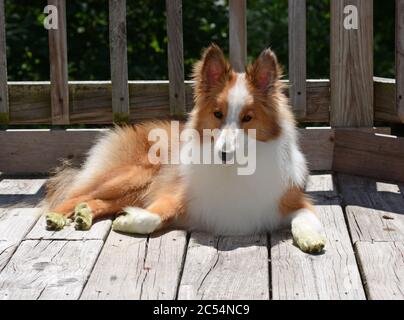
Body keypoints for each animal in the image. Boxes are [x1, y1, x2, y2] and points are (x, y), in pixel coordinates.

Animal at [44, 45, 326, 254]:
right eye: (217, 114)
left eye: (248, 118)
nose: (223, 154)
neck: (236, 169)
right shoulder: (175, 194)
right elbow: (153, 216)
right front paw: (128, 221)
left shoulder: (294, 200)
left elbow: (306, 219)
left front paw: (311, 239)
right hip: (134, 176)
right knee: (75, 195)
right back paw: (58, 216)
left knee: (95, 201)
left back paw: (85, 214)